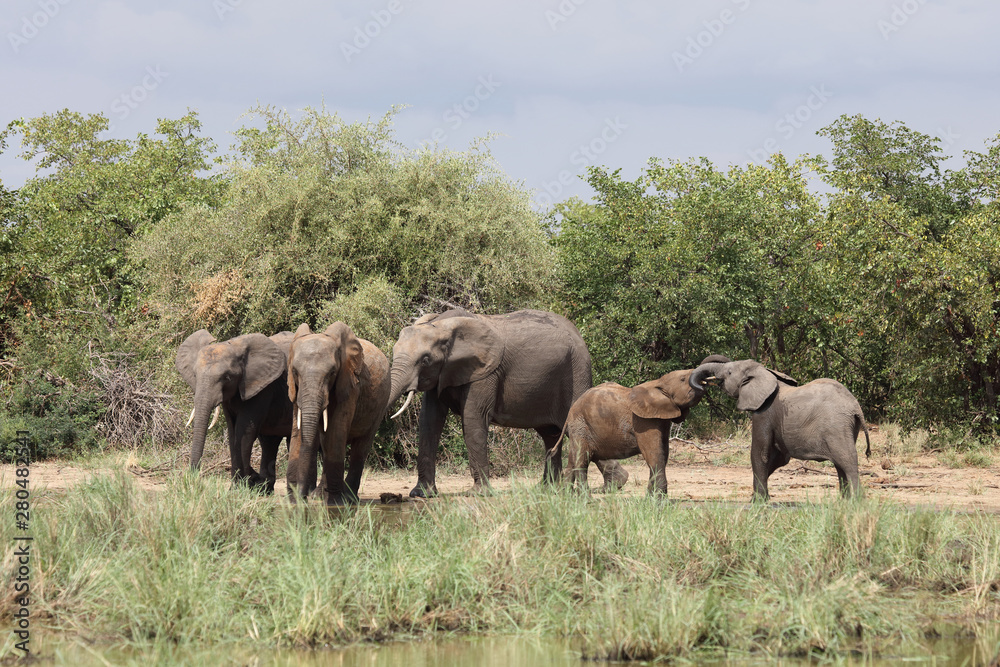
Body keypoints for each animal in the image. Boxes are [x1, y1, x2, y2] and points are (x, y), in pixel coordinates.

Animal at [175, 329, 296, 494]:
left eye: (227, 377)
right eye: (195, 375)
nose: (193, 483)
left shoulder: (261, 387)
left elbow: (244, 432)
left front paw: (238, 489)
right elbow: (233, 432)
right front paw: (236, 488)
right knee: (270, 441)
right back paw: (265, 490)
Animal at [285, 322, 391, 505]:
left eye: (332, 373)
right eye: (295, 371)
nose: (302, 498)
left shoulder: (350, 385)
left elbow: (336, 433)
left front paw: (335, 504)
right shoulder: (295, 390)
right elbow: (297, 432)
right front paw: (292, 502)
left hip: (380, 406)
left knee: (360, 447)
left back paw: (348, 498)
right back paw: (320, 496)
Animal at [387, 308, 628, 497]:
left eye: (425, 359)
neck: (441, 326)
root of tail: (580, 336)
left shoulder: (485, 373)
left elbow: (472, 420)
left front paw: (478, 494)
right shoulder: (443, 374)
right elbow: (429, 422)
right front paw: (421, 494)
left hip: (575, 374)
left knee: (573, 428)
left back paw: (615, 484)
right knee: (550, 435)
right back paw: (548, 489)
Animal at [549, 356, 730, 495]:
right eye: (683, 379)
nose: (707, 382)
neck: (657, 383)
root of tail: (571, 412)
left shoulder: (661, 419)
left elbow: (663, 453)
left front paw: (652, 498)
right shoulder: (642, 421)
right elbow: (654, 453)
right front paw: (659, 502)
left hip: (579, 427)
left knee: (573, 459)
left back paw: (566, 498)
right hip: (581, 425)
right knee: (581, 460)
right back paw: (585, 500)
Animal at [689, 358, 871, 501]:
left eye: (728, 372)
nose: (703, 386)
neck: (765, 373)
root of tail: (856, 407)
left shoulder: (764, 413)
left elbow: (760, 453)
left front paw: (758, 501)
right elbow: (780, 458)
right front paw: (759, 497)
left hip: (836, 426)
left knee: (847, 461)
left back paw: (857, 502)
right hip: (848, 426)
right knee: (840, 465)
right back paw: (844, 502)